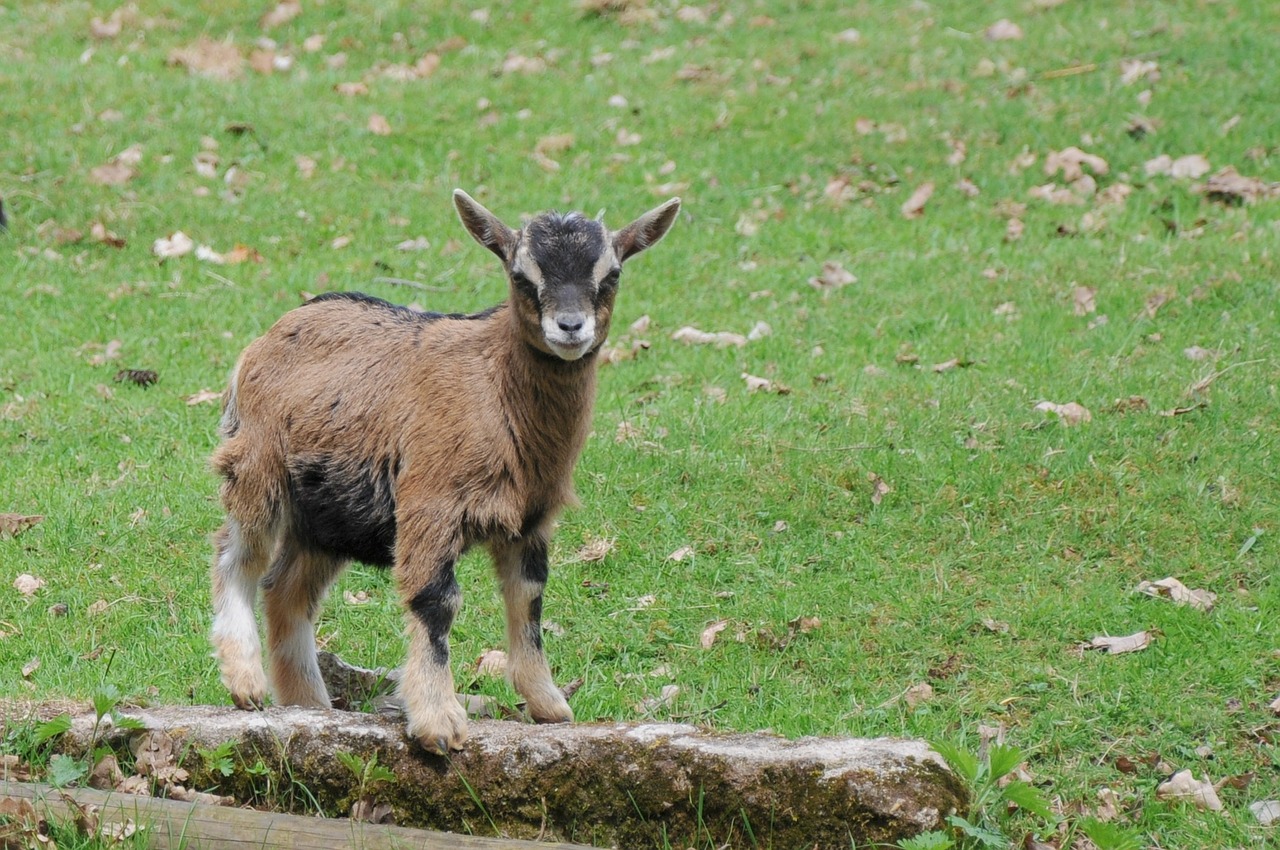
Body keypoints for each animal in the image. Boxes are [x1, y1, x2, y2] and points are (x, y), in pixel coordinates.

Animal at [209, 188, 680, 752]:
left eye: (610, 274)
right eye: (521, 274)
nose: (570, 327)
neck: (495, 387)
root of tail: (268, 337)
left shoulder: (531, 518)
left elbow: (529, 600)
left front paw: (549, 705)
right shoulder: (430, 503)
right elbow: (436, 602)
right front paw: (438, 722)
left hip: (330, 513)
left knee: (286, 590)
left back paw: (311, 705)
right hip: (258, 468)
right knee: (237, 557)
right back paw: (246, 682)